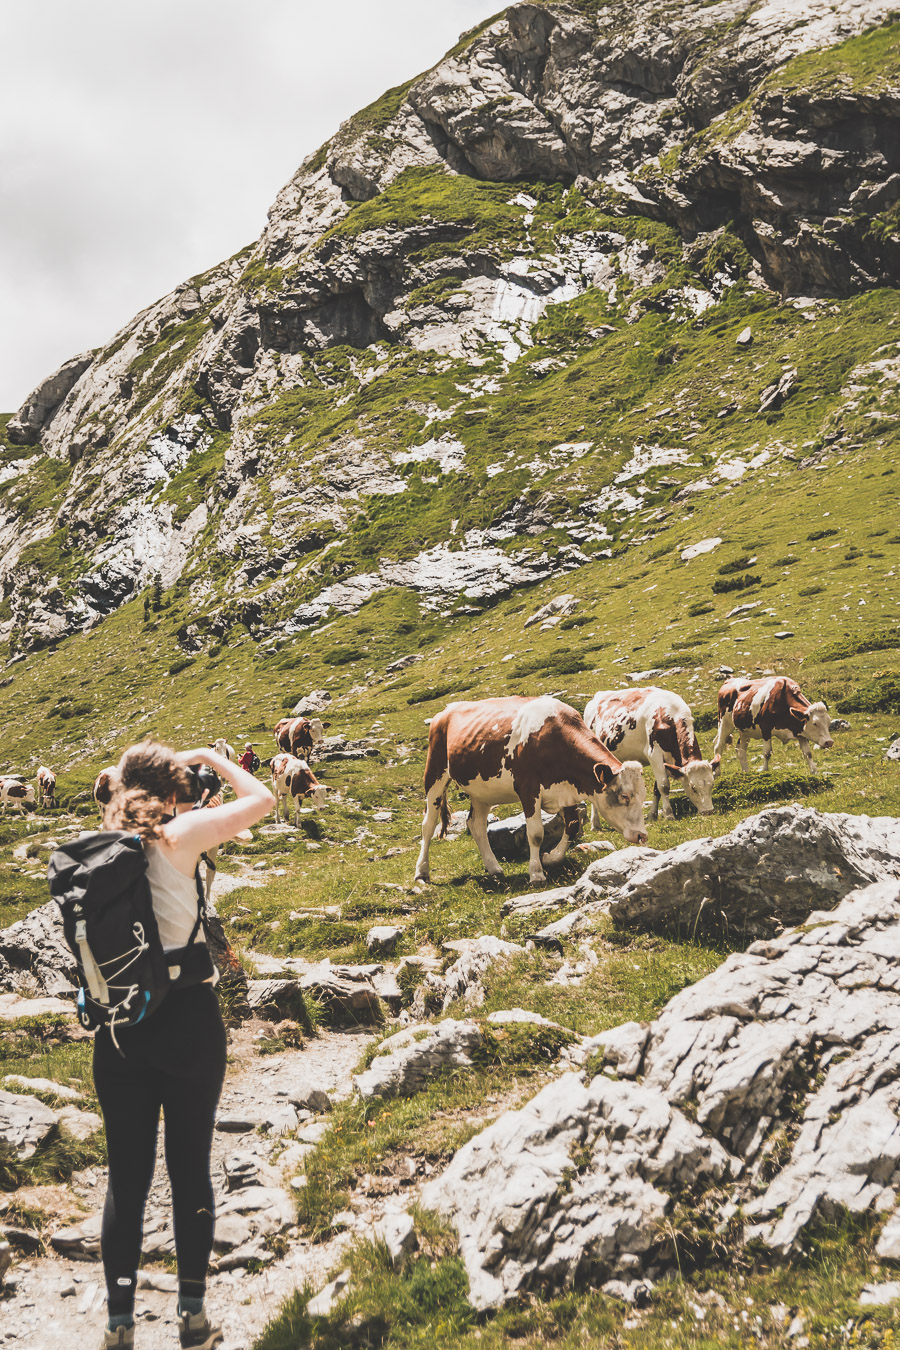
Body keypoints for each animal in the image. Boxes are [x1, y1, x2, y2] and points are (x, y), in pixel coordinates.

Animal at [415, 696, 647, 885]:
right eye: (624, 796)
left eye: (642, 796)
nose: (642, 835)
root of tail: (446, 711)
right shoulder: (528, 789)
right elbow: (535, 834)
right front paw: (536, 873)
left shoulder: (566, 791)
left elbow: (572, 826)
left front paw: (550, 858)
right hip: (435, 774)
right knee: (429, 824)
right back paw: (421, 872)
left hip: (482, 791)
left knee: (476, 825)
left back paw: (494, 867)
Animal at [588, 685, 723, 820]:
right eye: (693, 787)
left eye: (711, 785)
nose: (708, 811)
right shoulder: (654, 754)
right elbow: (664, 786)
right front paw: (668, 814)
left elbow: (657, 788)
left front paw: (652, 814)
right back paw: (595, 822)